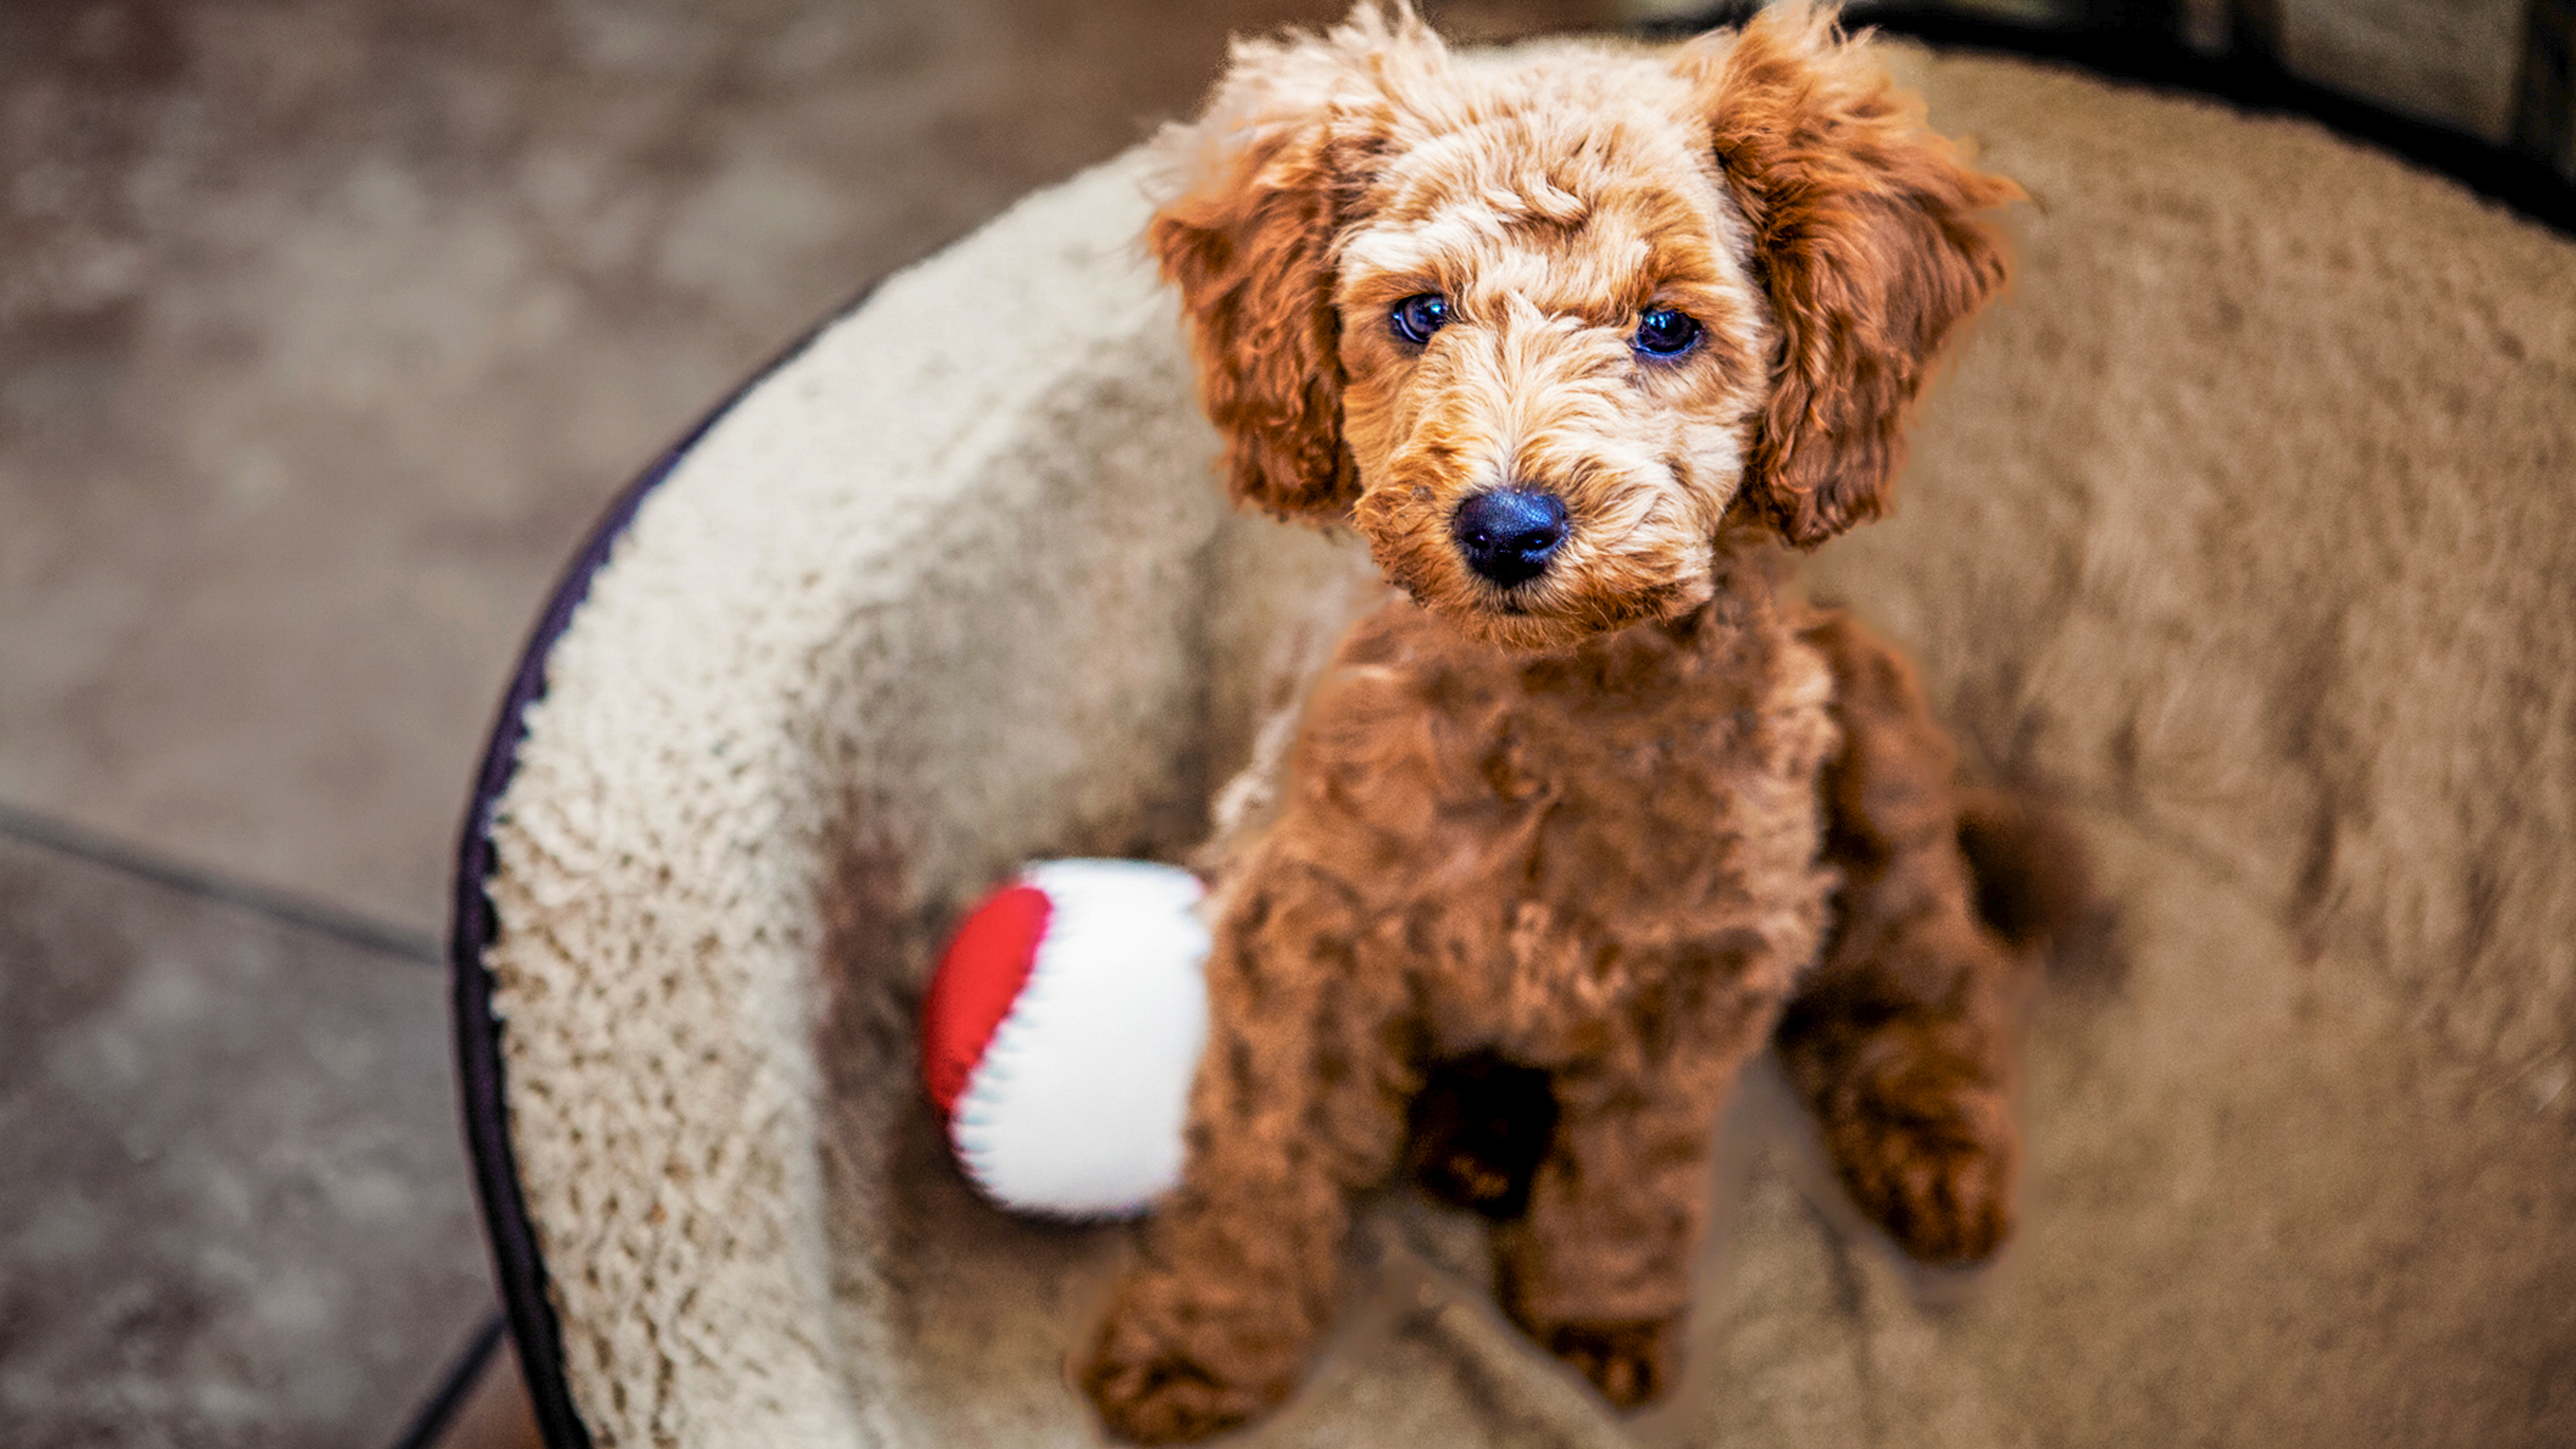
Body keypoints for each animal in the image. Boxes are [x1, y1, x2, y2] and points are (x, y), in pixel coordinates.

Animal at [1077, 8, 2061, 1433]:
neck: (1557, 704)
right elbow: (1262, 1157)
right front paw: (1202, 1347)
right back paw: (1475, 1139)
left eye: (1666, 329)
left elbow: (1635, 1172)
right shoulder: (1306, 930)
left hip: (1881, 781)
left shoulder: (1705, 973)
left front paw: (1598, 1319)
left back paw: (1940, 1159)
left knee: (1933, 977)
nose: (1506, 525)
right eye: (1419, 313)